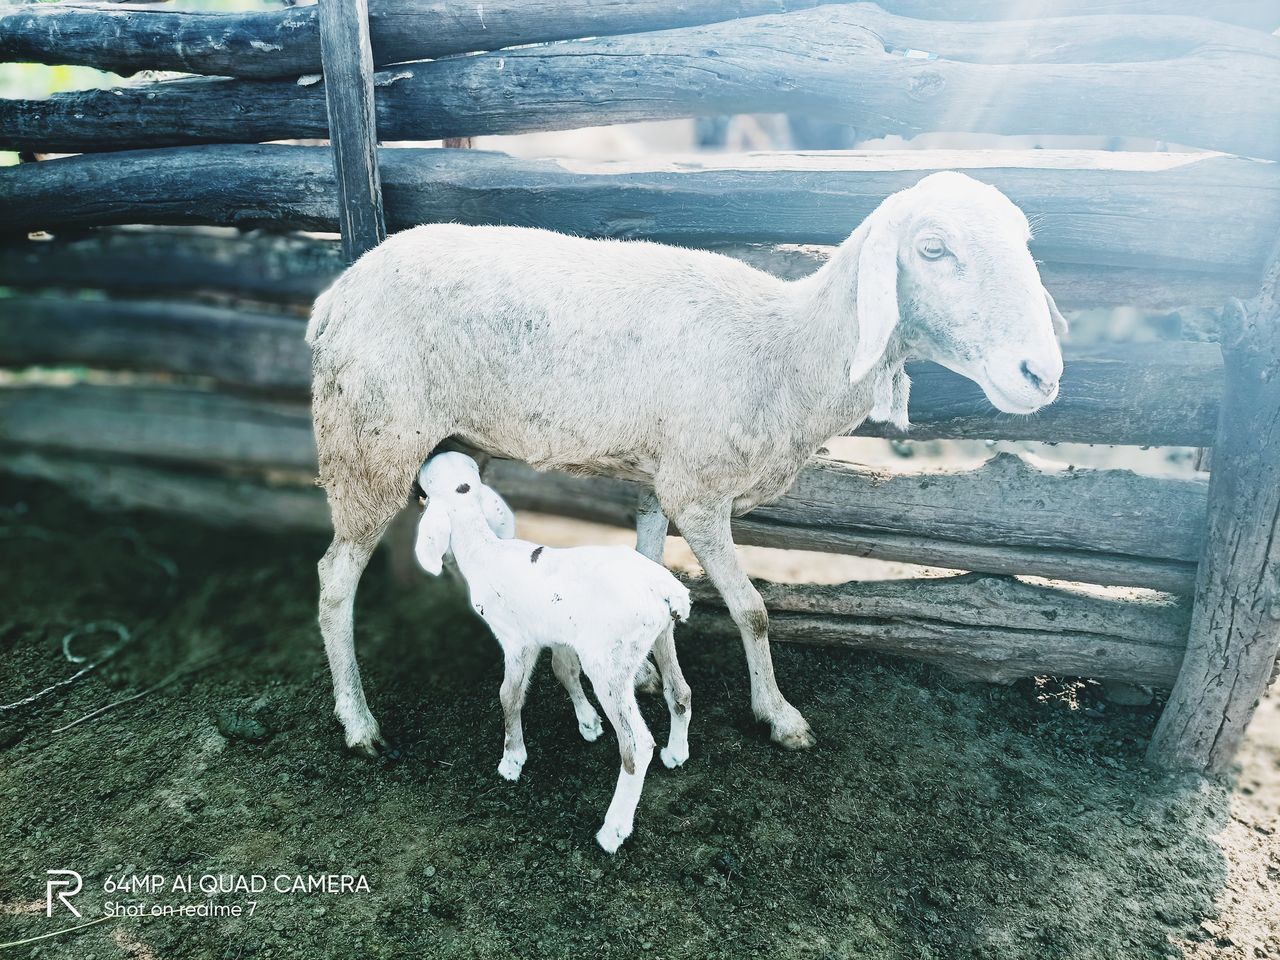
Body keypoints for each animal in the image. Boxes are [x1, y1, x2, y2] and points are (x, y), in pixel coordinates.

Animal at [304, 171, 1064, 757]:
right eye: (933, 248)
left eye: (1026, 242)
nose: (1042, 374)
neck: (787, 353)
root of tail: (337, 293)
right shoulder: (697, 492)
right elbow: (753, 610)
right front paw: (778, 715)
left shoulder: (657, 484)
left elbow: (649, 573)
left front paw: (642, 671)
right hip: (366, 445)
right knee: (335, 582)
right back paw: (359, 723)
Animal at [412, 455, 691, 855]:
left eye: (426, 482)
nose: (421, 466)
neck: (484, 551)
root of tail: (669, 590)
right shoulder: (558, 633)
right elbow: (564, 671)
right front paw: (588, 723)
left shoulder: (517, 640)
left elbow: (508, 696)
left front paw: (512, 759)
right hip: (662, 634)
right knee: (680, 693)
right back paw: (676, 754)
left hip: (609, 661)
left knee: (636, 746)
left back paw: (613, 831)